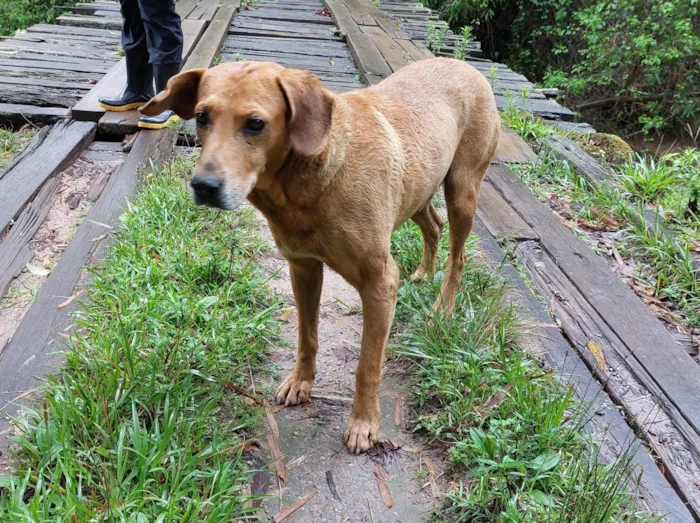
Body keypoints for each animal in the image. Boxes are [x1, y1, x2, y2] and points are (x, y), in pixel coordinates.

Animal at [141, 56, 498, 450]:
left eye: (255, 124)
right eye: (202, 117)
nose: (204, 186)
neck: (307, 182)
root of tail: (463, 64)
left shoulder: (380, 283)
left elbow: (367, 365)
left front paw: (364, 422)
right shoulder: (303, 269)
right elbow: (306, 336)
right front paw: (301, 381)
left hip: (462, 190)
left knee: (458, 254)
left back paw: (443, 306)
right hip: (417, 189)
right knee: (433, 225)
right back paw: (424, 273)